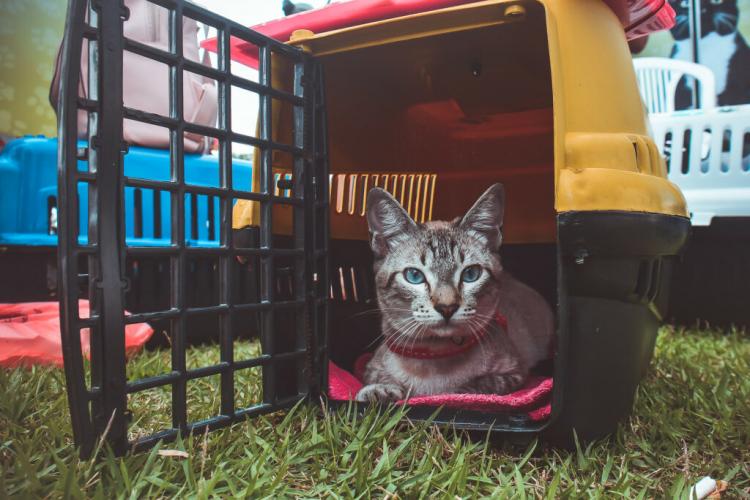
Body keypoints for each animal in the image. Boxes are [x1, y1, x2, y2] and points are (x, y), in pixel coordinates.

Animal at [358, 184, 560, 402]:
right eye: (414, 276)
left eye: (471, 274)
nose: (447, 308)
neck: (435, 355)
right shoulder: (371, 367)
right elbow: (377, 379)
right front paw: (379, 392)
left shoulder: (517, 372)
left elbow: (476, 386)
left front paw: (451, 393)